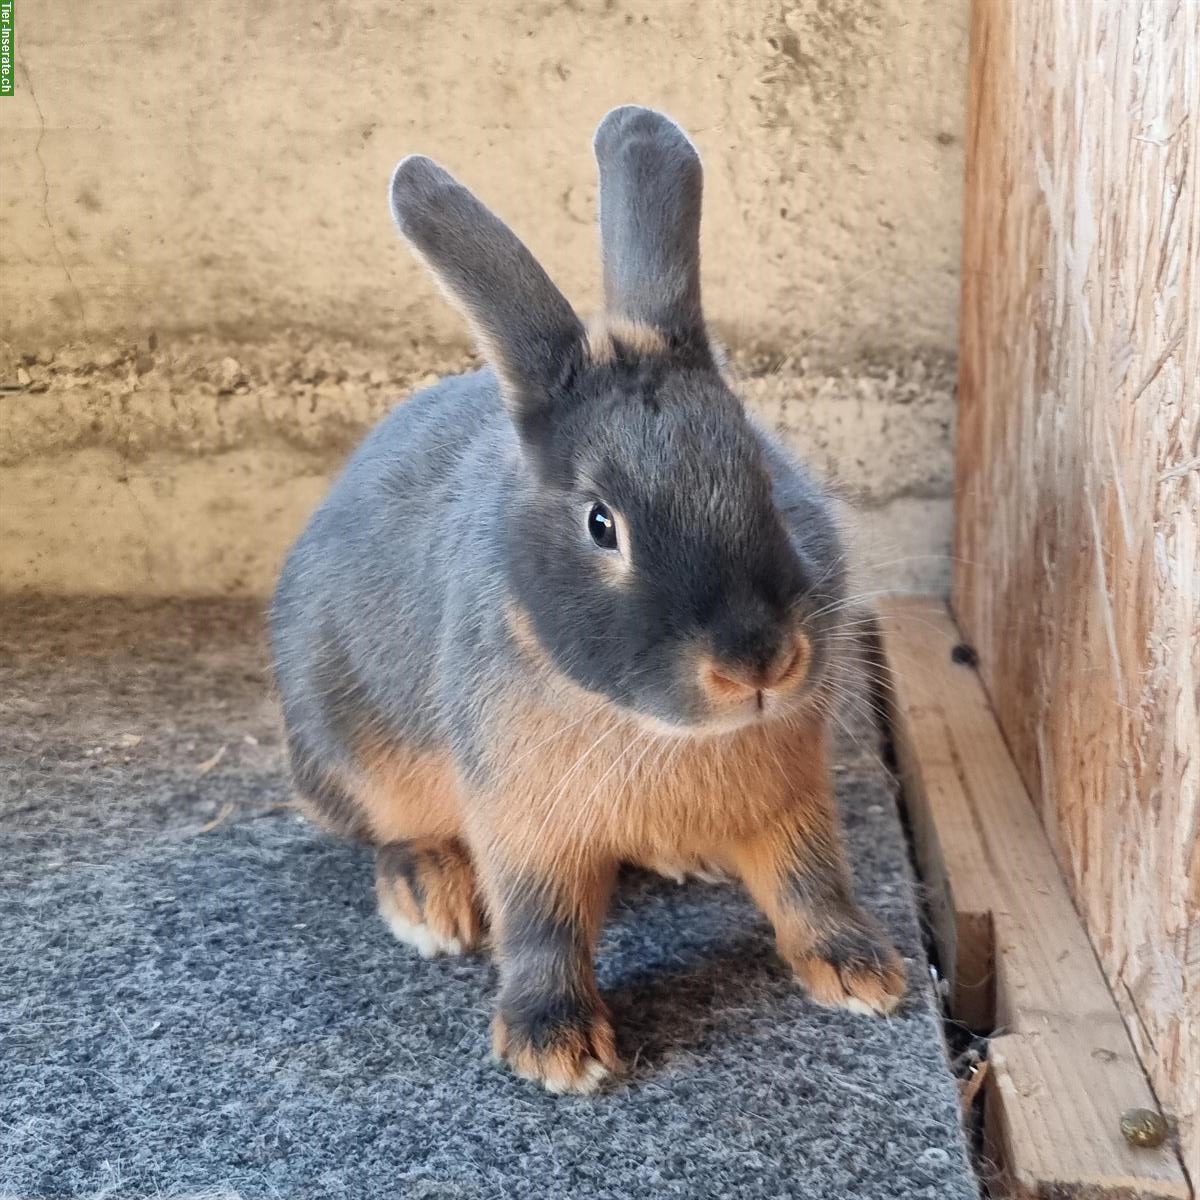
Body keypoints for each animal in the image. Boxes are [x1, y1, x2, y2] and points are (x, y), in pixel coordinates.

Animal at [272, 105, 902, 1099]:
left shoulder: (793, 804)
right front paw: (554, 1046)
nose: (758, 662)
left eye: (763, 476)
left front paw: (860, 971)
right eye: (603, 524)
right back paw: (428, 896)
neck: (662, 735)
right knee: (381, 832)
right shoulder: (525, 825)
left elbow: (811, 884)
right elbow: (542, 927)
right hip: (345, 751)